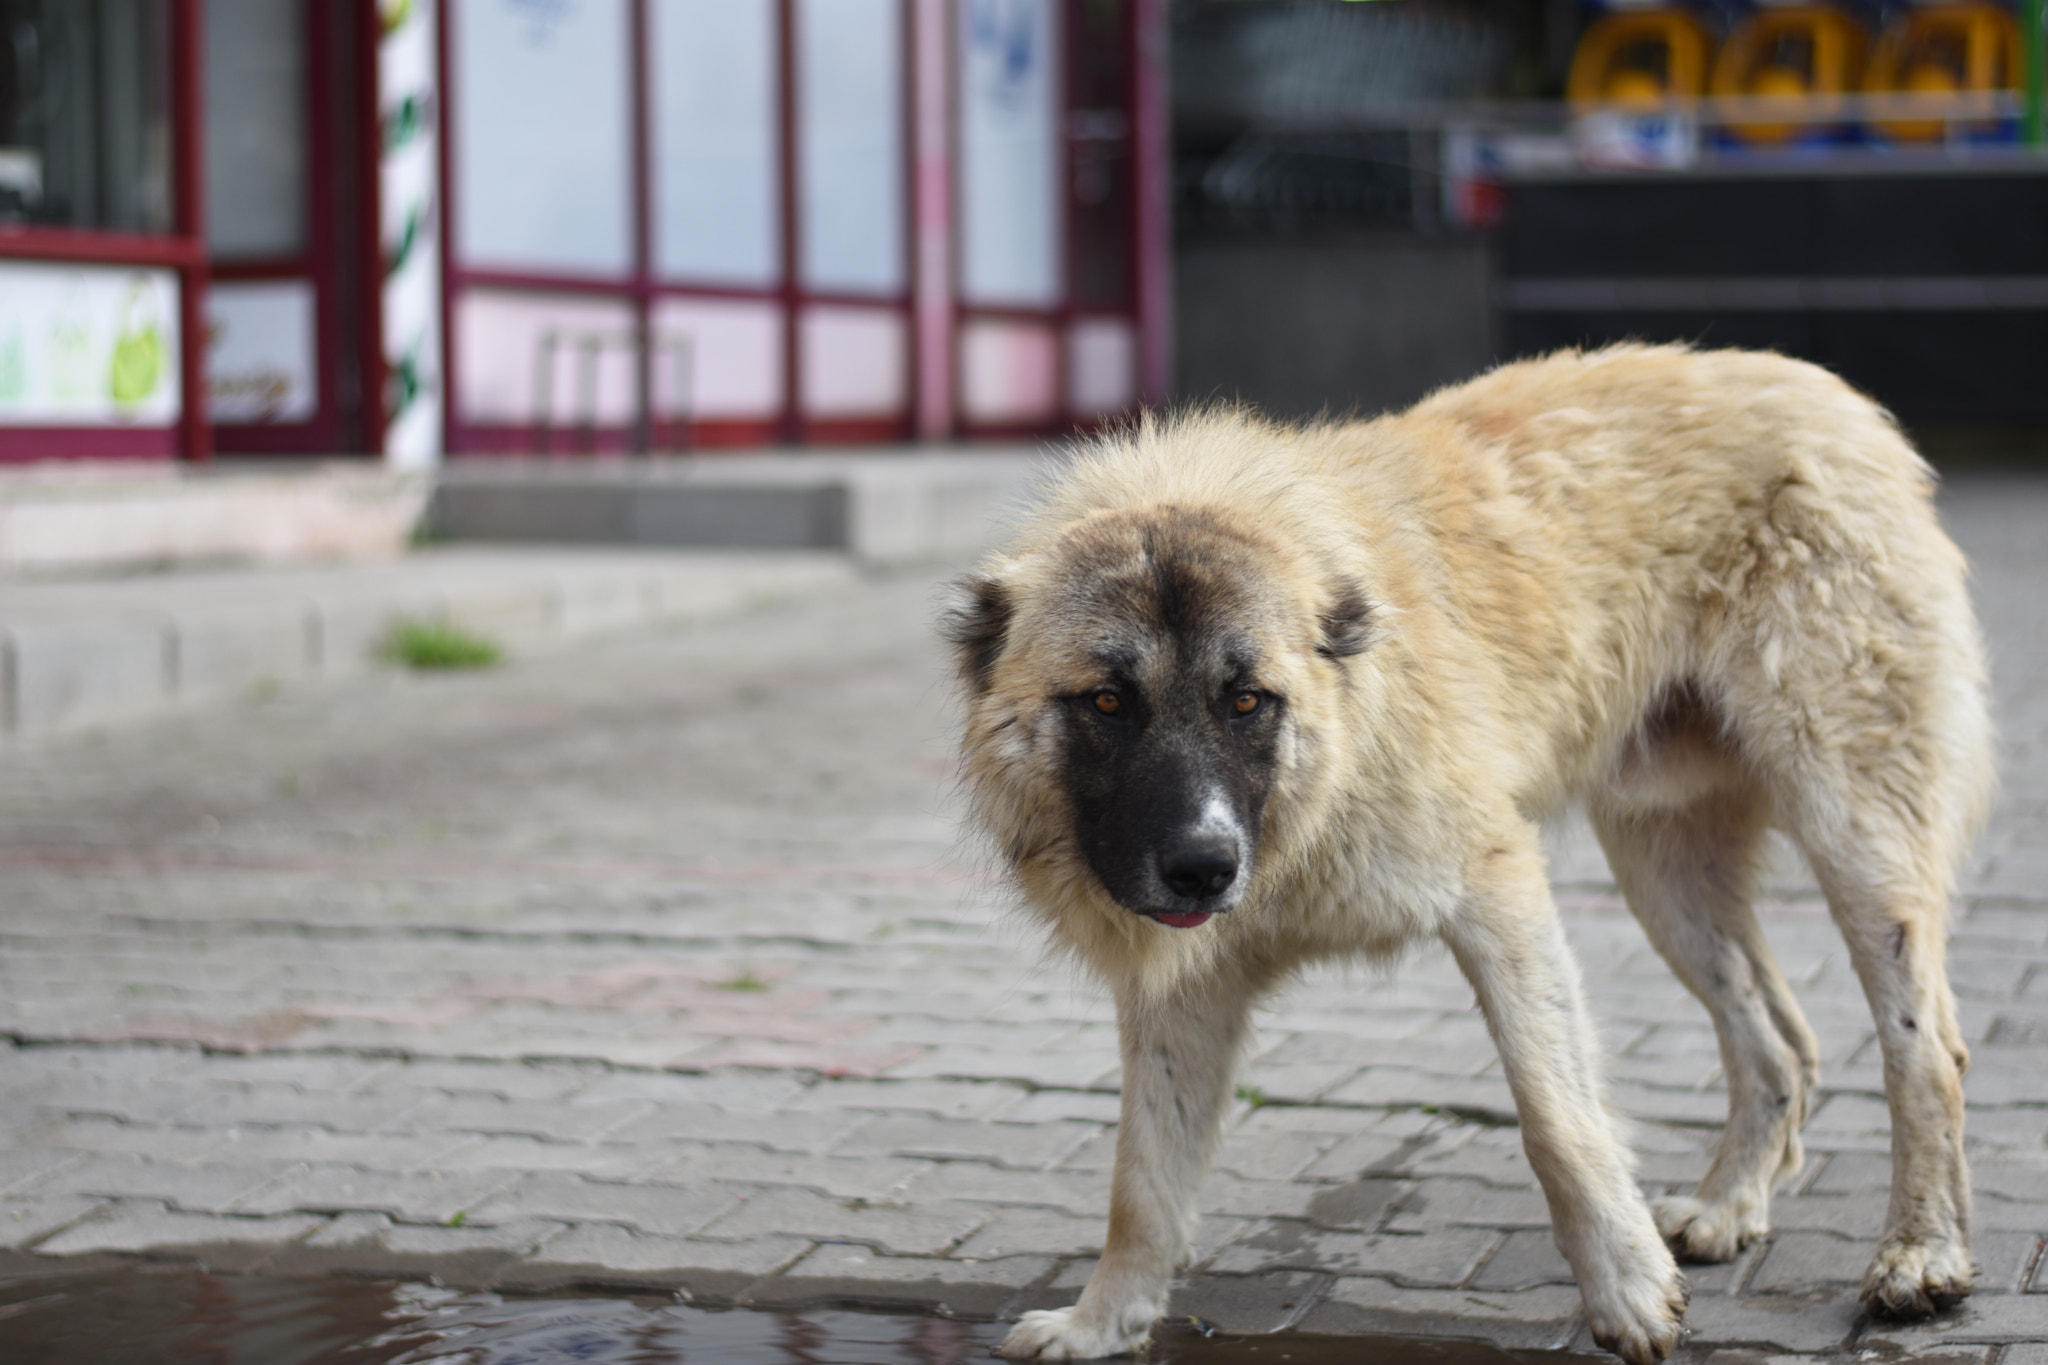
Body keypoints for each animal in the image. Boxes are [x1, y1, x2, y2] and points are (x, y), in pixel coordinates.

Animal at [950, 349, 1990, 1365]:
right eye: (1107, 702)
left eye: (1246, 700)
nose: (1204, 866)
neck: (1313, 801)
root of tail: (1832, 395)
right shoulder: (1183, 988)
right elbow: (1142, 1180)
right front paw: (1102, 1322)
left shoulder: (1498, 893)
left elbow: (1556, 1116)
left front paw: (1626, 1289)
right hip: (1664, 873)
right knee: (1779, 1041)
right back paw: (1732, 1206)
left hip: (1854, 830)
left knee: (1924, 1046)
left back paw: (1922, 1252)